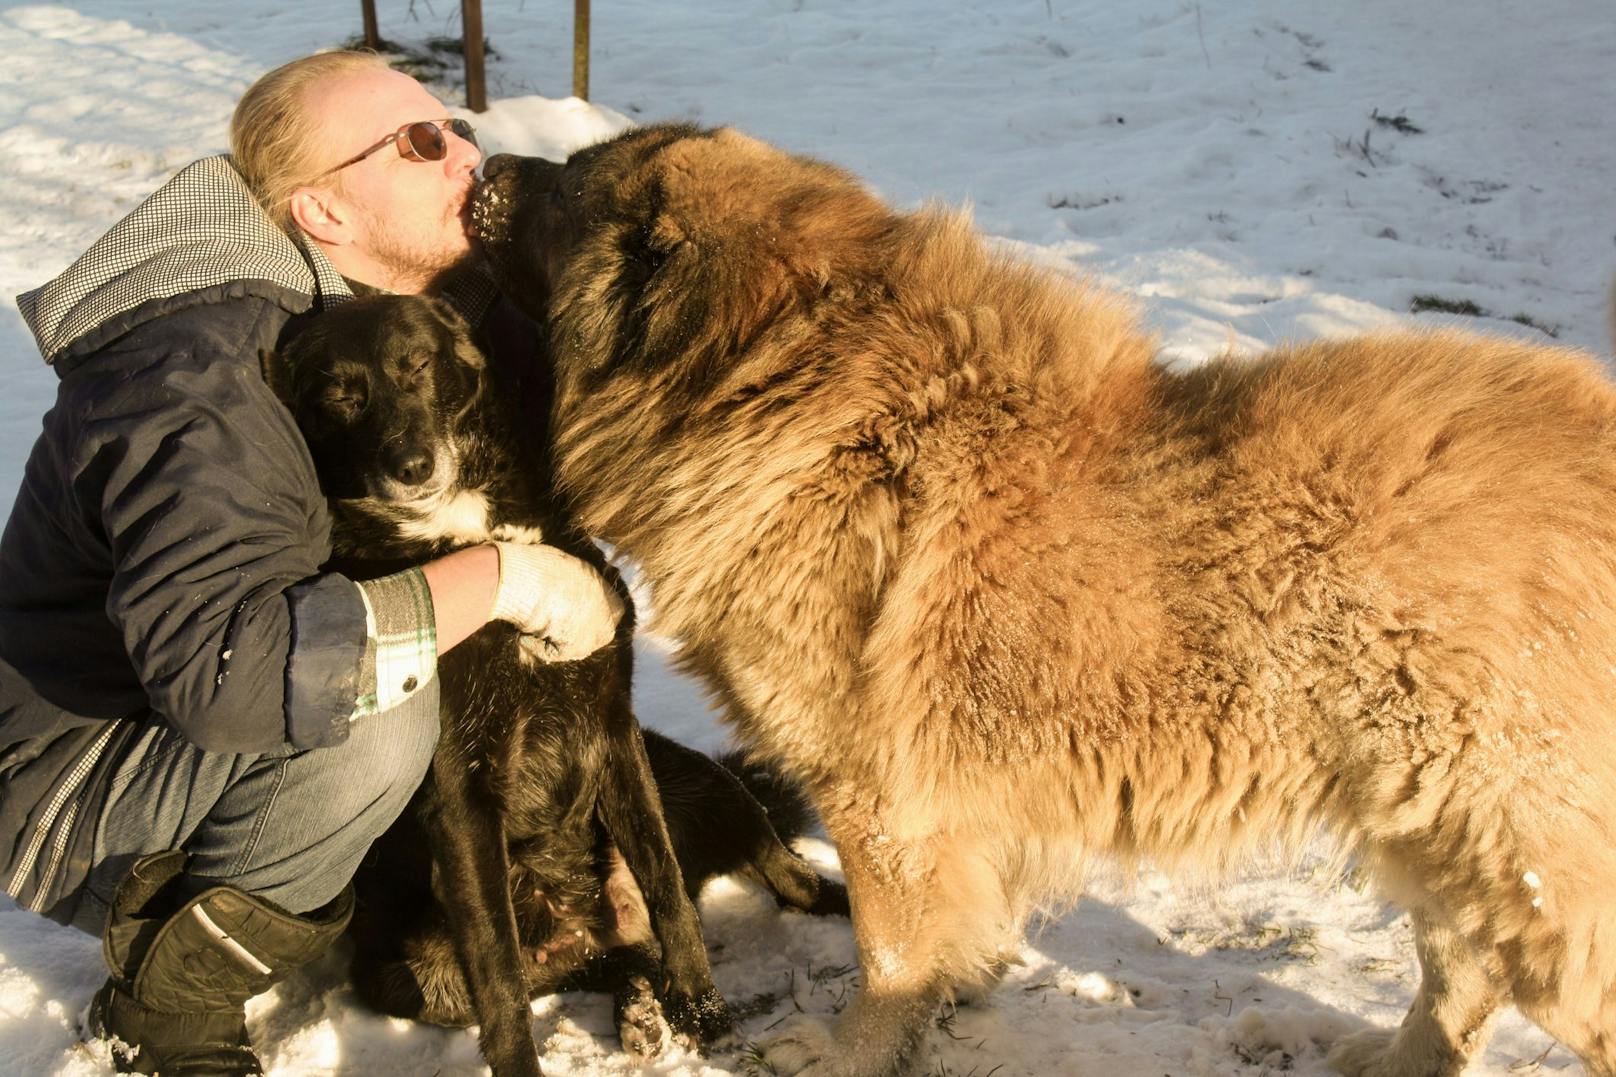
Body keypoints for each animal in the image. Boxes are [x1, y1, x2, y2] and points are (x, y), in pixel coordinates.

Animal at [261, 294, 846, 1073]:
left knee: (782, 875)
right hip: (409, 975)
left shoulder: (614, 730)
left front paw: (703, 1010)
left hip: (700, 782)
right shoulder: (461, 791)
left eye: (415, 365)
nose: (411, 466)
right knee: (608, 961)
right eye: (340, 396)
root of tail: (583, 923)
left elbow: (665, 884)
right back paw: (637, 1010)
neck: (467, 533)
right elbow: (499, 974)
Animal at [471, 127, 1616, 1073]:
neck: (802, 396)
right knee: (1461, 973)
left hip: (1520, 861)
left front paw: (853, 1051)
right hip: (1442, 837)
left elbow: (887, 959)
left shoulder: (879, 801)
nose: (479, 162)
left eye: (567, 186)